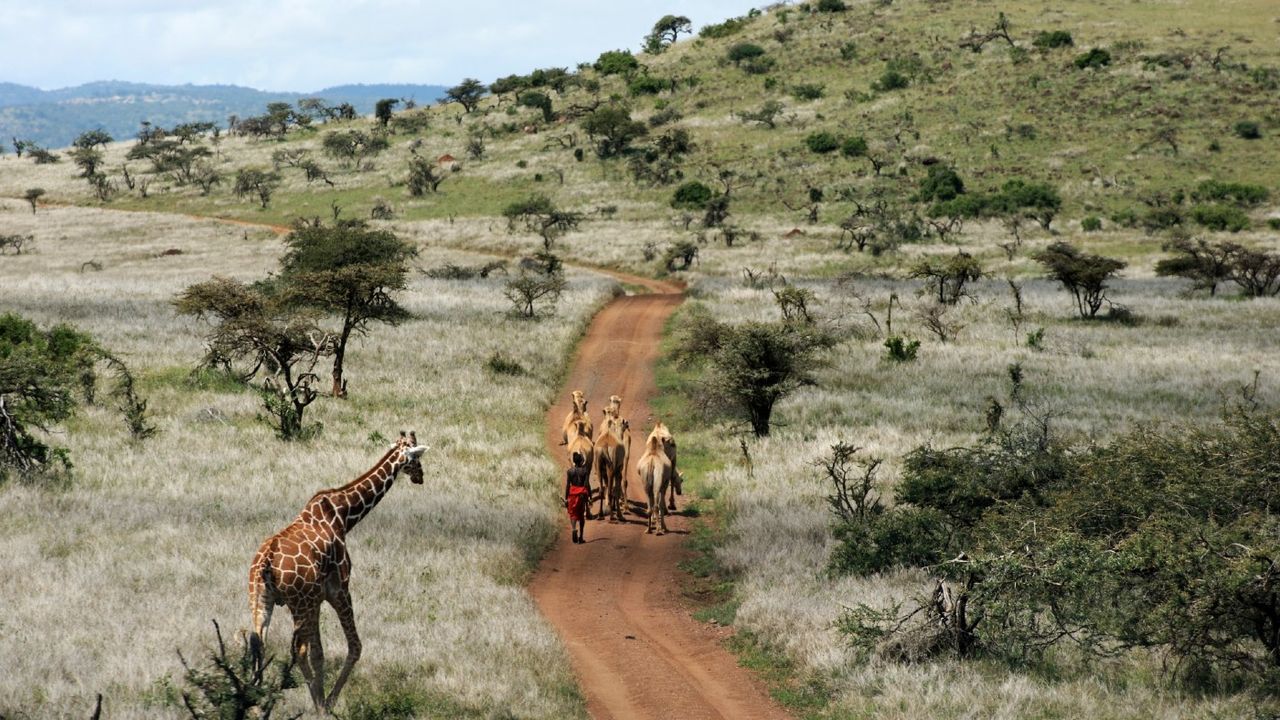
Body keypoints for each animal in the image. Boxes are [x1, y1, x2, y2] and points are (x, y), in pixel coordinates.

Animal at [247, 427, 427, 707]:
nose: (421, 477)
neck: (344, 515)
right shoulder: (339, 589)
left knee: (258, 642)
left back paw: (255, 702)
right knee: (297, 649)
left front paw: (321, 699)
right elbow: (354, 646)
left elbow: (319, 653)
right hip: (298, 603)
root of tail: (265, 562)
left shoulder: (317, 598)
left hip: (260, 599)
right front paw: (327, 702)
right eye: (417, 458)